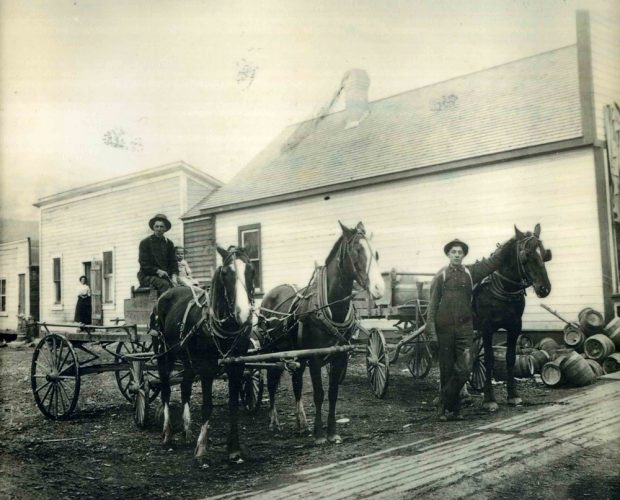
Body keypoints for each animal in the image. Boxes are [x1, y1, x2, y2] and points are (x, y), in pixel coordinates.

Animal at [153, 244, 254, 462]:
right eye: (225, 273)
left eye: (251, 270)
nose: (243, 313)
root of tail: (167, 293)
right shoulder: (207, 369)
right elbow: (207, 405)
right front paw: (201, 448)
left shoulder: (237, 365)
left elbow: (233, 404)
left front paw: (234, 449)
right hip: (165, 354)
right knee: (165, 389)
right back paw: (168, 433)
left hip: (188, 360)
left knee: (185, 387)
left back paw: (187, 430)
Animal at [256, 223, 382, 446]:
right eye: (356, 250)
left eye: (375, 252)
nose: (378, 288)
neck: (329, 309)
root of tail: (269, 295)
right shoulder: (314, 359)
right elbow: (318, 394)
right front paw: (319, 434)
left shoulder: (340, 356)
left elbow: (332, 393)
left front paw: (332, 432)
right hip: (271, 351)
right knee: (271, 382)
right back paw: (274, 421)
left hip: (296, 357)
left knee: (297, 384)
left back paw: (301, 423)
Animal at [472, 225, 556, 412]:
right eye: (526, 254)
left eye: (545, 254)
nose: (544, 288)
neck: (504, 289)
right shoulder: (486, 328)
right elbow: (489, 360)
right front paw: (489, 399)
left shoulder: (515, 326)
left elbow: (511, 358)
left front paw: (513, 395)